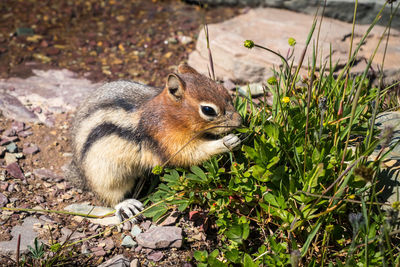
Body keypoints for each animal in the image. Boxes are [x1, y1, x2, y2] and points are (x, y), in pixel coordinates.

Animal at [69, 64, 241, 222]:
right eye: (208, 110)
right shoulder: (167, 140)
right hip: (105, 175)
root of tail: (80, 172)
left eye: (224, 91)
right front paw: (227, 142)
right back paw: (126, 204)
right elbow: (189, 154)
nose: (240, 120)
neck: (170, 116)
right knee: (110, 197)